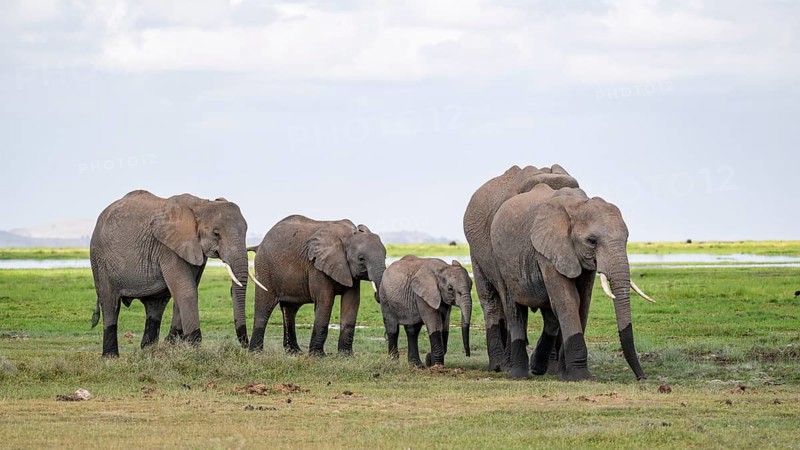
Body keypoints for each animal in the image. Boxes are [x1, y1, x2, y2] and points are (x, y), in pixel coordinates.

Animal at [90, 190, 250, 357]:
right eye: (216, 233)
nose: (246, 345)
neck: (201, 204)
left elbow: (186, 289)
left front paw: (172, 343)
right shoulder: (167, 247)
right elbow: (186, 290)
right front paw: (194, 348)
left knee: (155, 306)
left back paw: (149, 350)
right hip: (99, 259)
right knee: (110, 303)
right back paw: (111, 357)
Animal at [248, 215, 386, 356]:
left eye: (385, 257)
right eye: (361, 259)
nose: (386, 336)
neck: (348, 236)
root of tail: (260, 244)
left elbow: (351, 302)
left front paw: (346, 356)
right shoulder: (316, 267)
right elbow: (325, 301)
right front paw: (318, 356)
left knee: (290, 309)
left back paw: (294, 352)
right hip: (265, 268)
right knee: (264, 307)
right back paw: (256, 352)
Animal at [489, 183, 651, 381]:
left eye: (626, 239)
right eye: (592, 241)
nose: (642, 377)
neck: (577, 206)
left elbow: (582, 303)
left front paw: (567, 375)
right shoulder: (549, 251)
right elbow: (568, 300)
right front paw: (581, 377)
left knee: (550, 316)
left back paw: (538, 368)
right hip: (498, 260)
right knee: (514, 310)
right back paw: (519, 376)